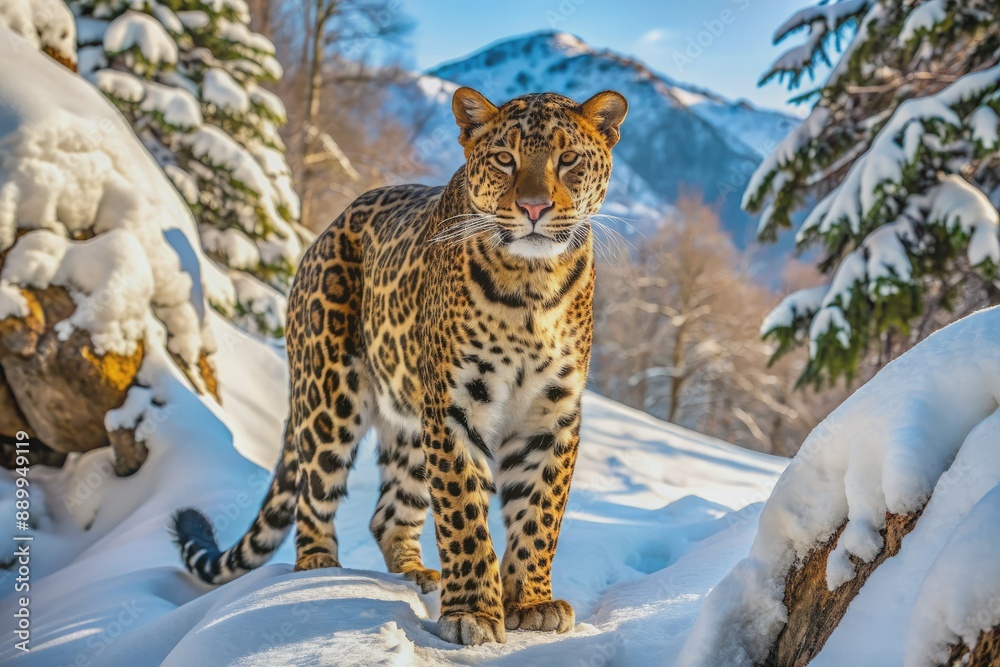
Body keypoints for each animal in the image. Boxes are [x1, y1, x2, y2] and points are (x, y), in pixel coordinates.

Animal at [171, 86, 627, 646]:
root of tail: (327, 229)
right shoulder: (455, 408)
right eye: (505, 159)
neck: (532, 286)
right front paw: (473, 612)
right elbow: (463, 514)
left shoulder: (552, 414)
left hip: (409, 421)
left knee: (388, 513)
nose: (534, 207)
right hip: (330, 396)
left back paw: (415, 573)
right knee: (314, 493)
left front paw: (531, 602)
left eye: (568, 160)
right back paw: (317, 570)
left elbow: (539, 515)